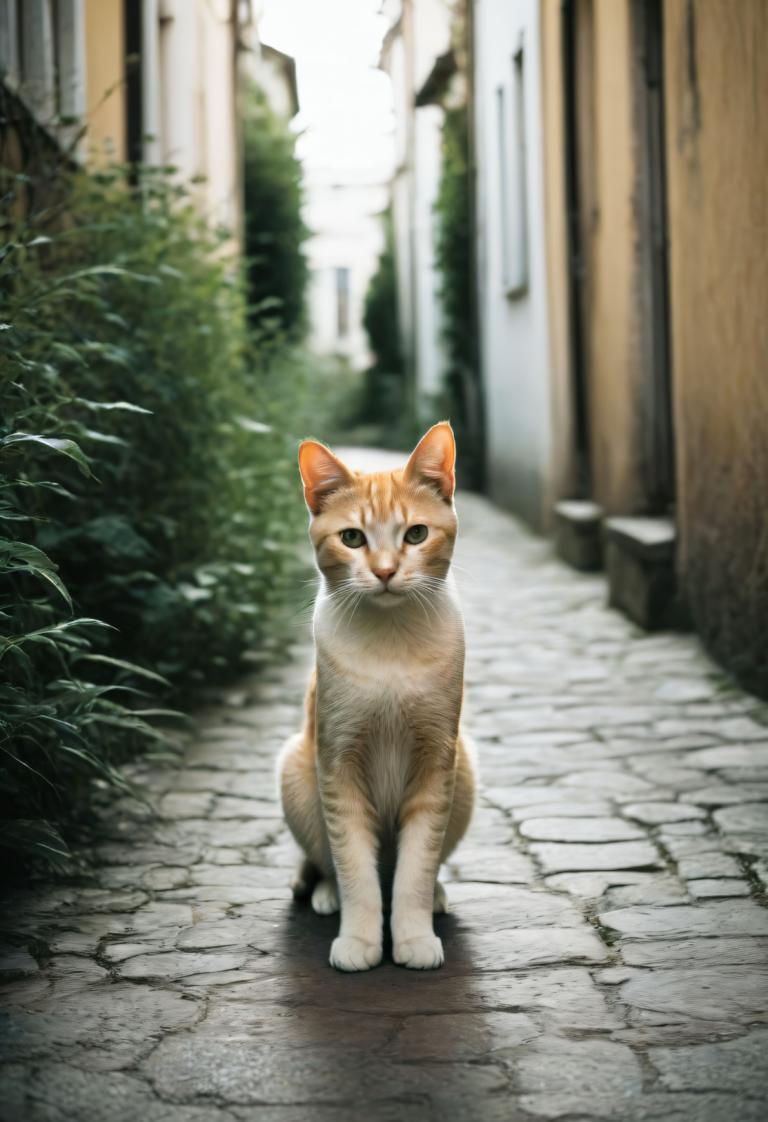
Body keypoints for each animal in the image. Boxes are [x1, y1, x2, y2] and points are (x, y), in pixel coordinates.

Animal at [278, 424, 476, 969]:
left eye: (416, 534)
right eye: (352, 538)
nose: (386, 572)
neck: (390, 644)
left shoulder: (437, 762)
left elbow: (416, 866)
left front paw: (413, 936)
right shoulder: (337, 762)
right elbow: (353, 866)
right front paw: (360, 940)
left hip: (466, 773)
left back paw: (436, 897)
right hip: (296, 770)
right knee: (324, 860)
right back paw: (324, 893)